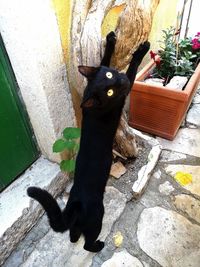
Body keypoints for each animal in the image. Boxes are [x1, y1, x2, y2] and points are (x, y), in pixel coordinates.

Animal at [27, 31, 150, 253]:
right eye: (109, 92)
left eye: (109, 76)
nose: (118, 80)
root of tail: (75, 204)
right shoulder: (126, 89)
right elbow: (132, 69)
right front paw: (142, 49)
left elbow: (103, 60)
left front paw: (110, 40)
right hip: (97, 217)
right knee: (86, 243)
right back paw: (99, 245)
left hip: (77, 227)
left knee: (73, 237)